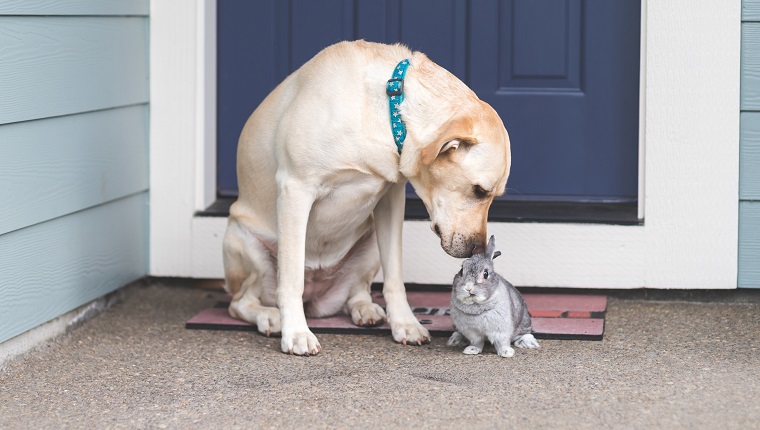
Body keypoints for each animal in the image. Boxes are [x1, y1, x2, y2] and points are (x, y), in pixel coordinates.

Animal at [223, 40, 512, 356]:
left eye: (492, 194)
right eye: (480, 190)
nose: (479, 250)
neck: (387, 111)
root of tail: (317, 297)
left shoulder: (391, 199)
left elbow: (395, 277)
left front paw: (405, 323)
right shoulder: (295, 189)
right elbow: (291, 279)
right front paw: (296, 333)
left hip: (370, 242)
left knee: (357, 291)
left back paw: (366, 309)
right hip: (243, 241)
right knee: (240, 302)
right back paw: (270, 316)